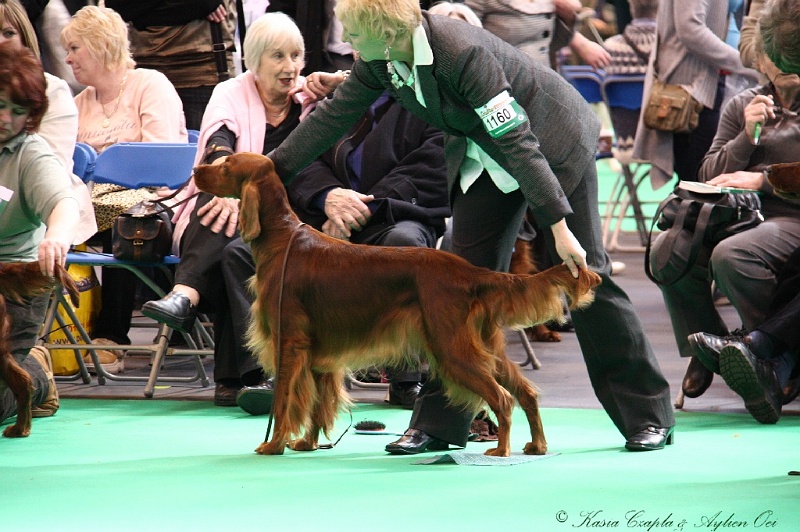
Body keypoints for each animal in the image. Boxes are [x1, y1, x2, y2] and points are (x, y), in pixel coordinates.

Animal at [197, 152, 604, 456]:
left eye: (226, 166)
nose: (198, 168)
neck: (282, 238)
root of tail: (469, 271)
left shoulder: (289, 342)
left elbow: (284, 400)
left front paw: (274, 444)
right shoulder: (319, 352)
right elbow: (318, 404)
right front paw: (307, 443)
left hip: (451, 347)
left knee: (503, 398)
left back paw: (501, 451)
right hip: (482, 346)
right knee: (526, 393)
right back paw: (536, 446)